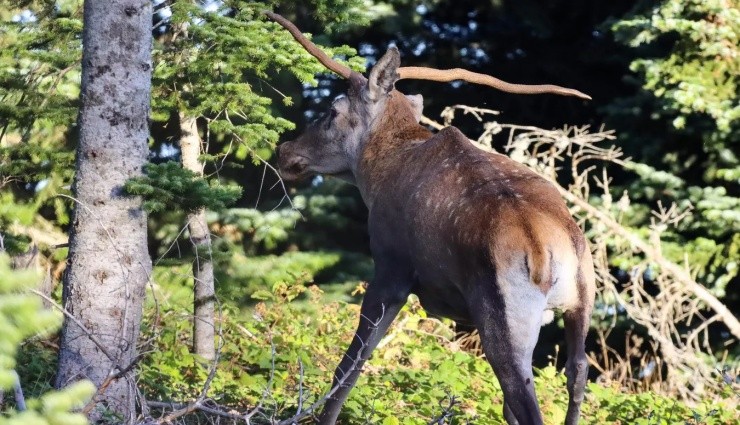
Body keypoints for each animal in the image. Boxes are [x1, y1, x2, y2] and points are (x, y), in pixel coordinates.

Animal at [266, 11, 596, 422]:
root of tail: (548, 252)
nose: (285, 151)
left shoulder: (390, 269)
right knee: (576, 373)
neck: (376, 175)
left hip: (503, 318)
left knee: (523, 395)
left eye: (331, 111)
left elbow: (350, 367)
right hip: (582, 302)